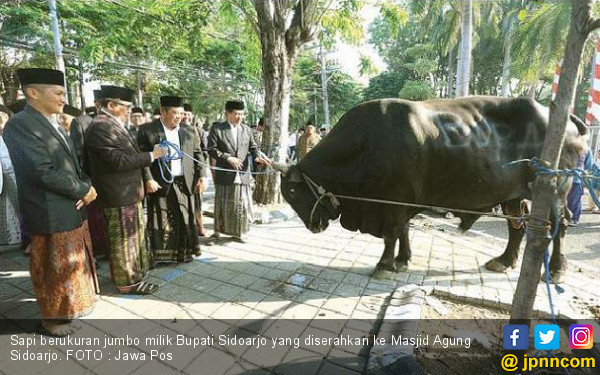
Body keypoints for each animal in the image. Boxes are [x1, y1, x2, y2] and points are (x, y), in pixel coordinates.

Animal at [276, 97, 584, 282]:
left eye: (291, 192)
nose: (314, 226)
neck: (364, 144)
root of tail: (565, 118)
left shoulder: (395, 202)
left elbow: (392, 234)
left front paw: (384, 265)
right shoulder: (403, 203)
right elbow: (403, 231)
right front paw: (403, 260)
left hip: (555, 192)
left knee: (560, 227)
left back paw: (556, 270)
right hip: (512, 195)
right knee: (516, 228)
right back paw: (504, 261)